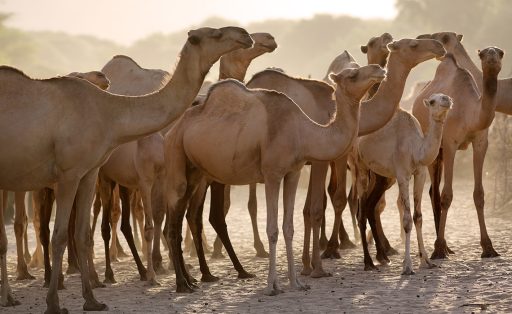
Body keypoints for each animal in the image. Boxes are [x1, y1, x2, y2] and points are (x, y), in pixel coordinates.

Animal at [0, 26, 253, 312]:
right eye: (215, 34)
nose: (245, 34)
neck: (108, 112)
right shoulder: (68, 173)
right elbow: (60, 235)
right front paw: (54, 303)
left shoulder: (88, 172)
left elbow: (82, 234)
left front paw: (92, 300)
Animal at [164, 63, 384, 294]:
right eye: (352, 74)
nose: (379, 69)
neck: (302, 132)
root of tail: (173, 128)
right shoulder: (272, 174)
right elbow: (272, 229)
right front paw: (272, 286)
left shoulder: (294, 172)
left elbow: (288, 227)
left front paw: (296, 282)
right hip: (175, 152)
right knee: (173, 218)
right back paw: (182, 284)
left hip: (195, 170)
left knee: (182, 215)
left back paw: (191, 280)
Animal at [356, 93, 452, 272]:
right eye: (432, 101)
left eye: (445, 96)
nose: (447, 99)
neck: (416, 149)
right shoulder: (402, 175)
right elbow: (407, 220)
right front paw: (407, 266)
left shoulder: (420, 173)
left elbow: (418, 217)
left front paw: (426, 261)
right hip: (359, 165)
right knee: (361, 211)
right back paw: (368, 263)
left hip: (381, 176)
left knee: (370, 206)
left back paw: (383, 257)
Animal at [412, 44, 504, 260]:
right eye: (483, 53)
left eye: (500, 52)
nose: (492, 56)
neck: (470, 113)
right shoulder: (450, 143)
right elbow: (447, 195)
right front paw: (438, 249)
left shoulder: (481, 142)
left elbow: (479, 194)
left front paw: (488, 247)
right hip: (433, 150)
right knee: (436, 193)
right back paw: (439, 247)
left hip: (440, 154)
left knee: (433, 190)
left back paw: (447, 247)